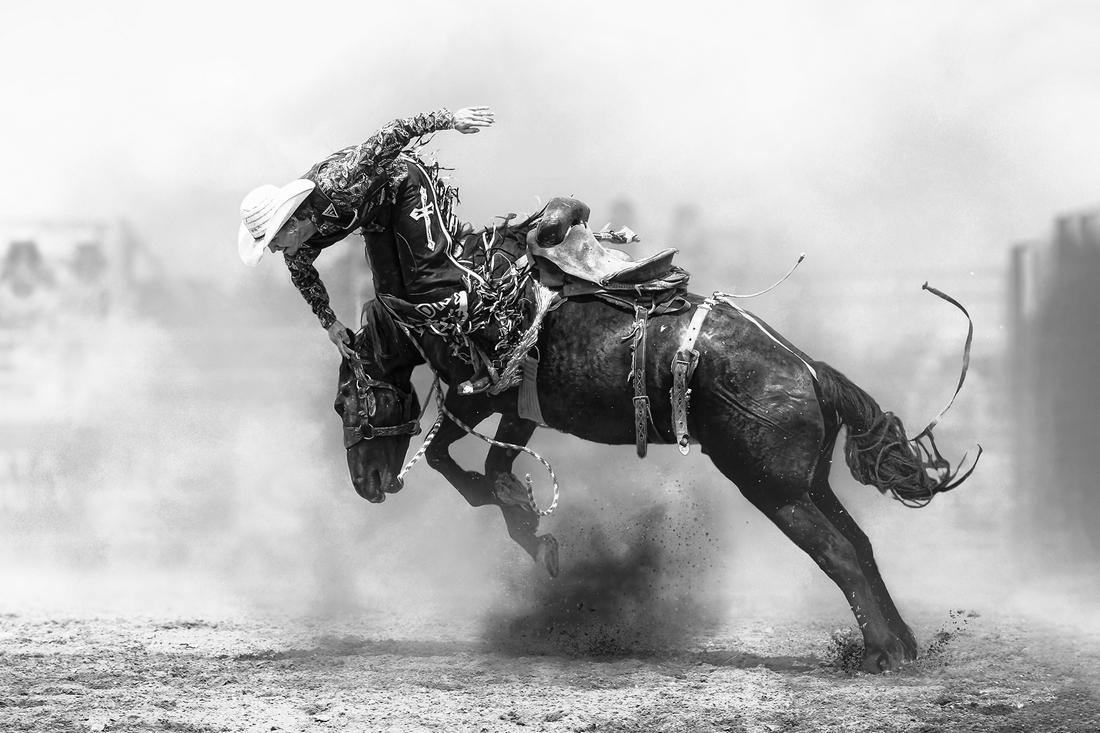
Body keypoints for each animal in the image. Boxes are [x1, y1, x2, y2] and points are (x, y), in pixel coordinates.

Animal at [330, 193, 976, 669]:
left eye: (342, 402)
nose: (367, 484)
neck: (460, 286)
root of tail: (812, 371)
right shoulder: (517, 406)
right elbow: (486, 465)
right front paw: (527, 520)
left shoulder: (486, 392)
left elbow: (450, 459)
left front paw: (521, 517)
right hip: (810, 483)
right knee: (860, 544)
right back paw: (905, 644)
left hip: (773, 489)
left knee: (838, 552)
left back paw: (880, 653)